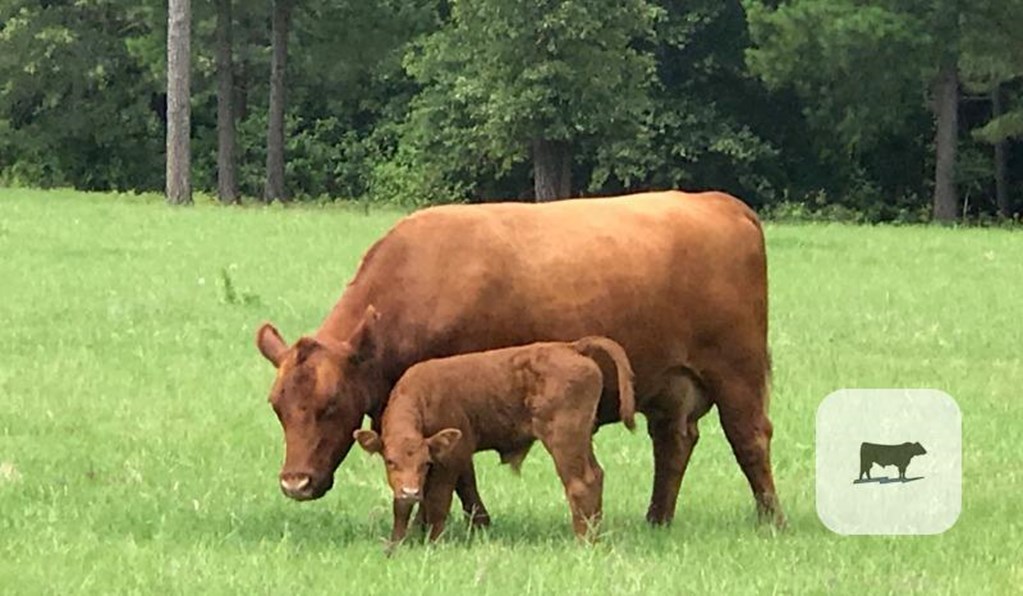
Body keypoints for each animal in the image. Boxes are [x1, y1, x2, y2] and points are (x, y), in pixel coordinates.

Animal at [356, 337, 634, 547]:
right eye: (390, 461)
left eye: (425, 463)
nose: (409, 491)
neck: (423, 396)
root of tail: (571, 346)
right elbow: (408, 506)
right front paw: (397, 543)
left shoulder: (451, 458)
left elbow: (437, 502)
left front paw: (432, 543)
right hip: (582, 439)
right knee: (596, 476)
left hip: (564, 439)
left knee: (580, 483)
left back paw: (584, 541)